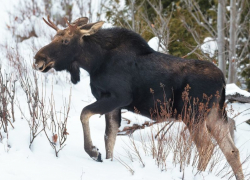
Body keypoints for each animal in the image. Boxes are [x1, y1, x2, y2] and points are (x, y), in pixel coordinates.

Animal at [33, 16, 244, 179]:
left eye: (65, 41)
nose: (38, 59)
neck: (93, 62)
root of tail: (222, 81)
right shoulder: (114, 105)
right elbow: (109, 138)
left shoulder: (118, 97)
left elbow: (85, 114)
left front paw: (93, 151)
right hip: (215, 114)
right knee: (232, 150)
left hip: (193, 114)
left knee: (207, 147)